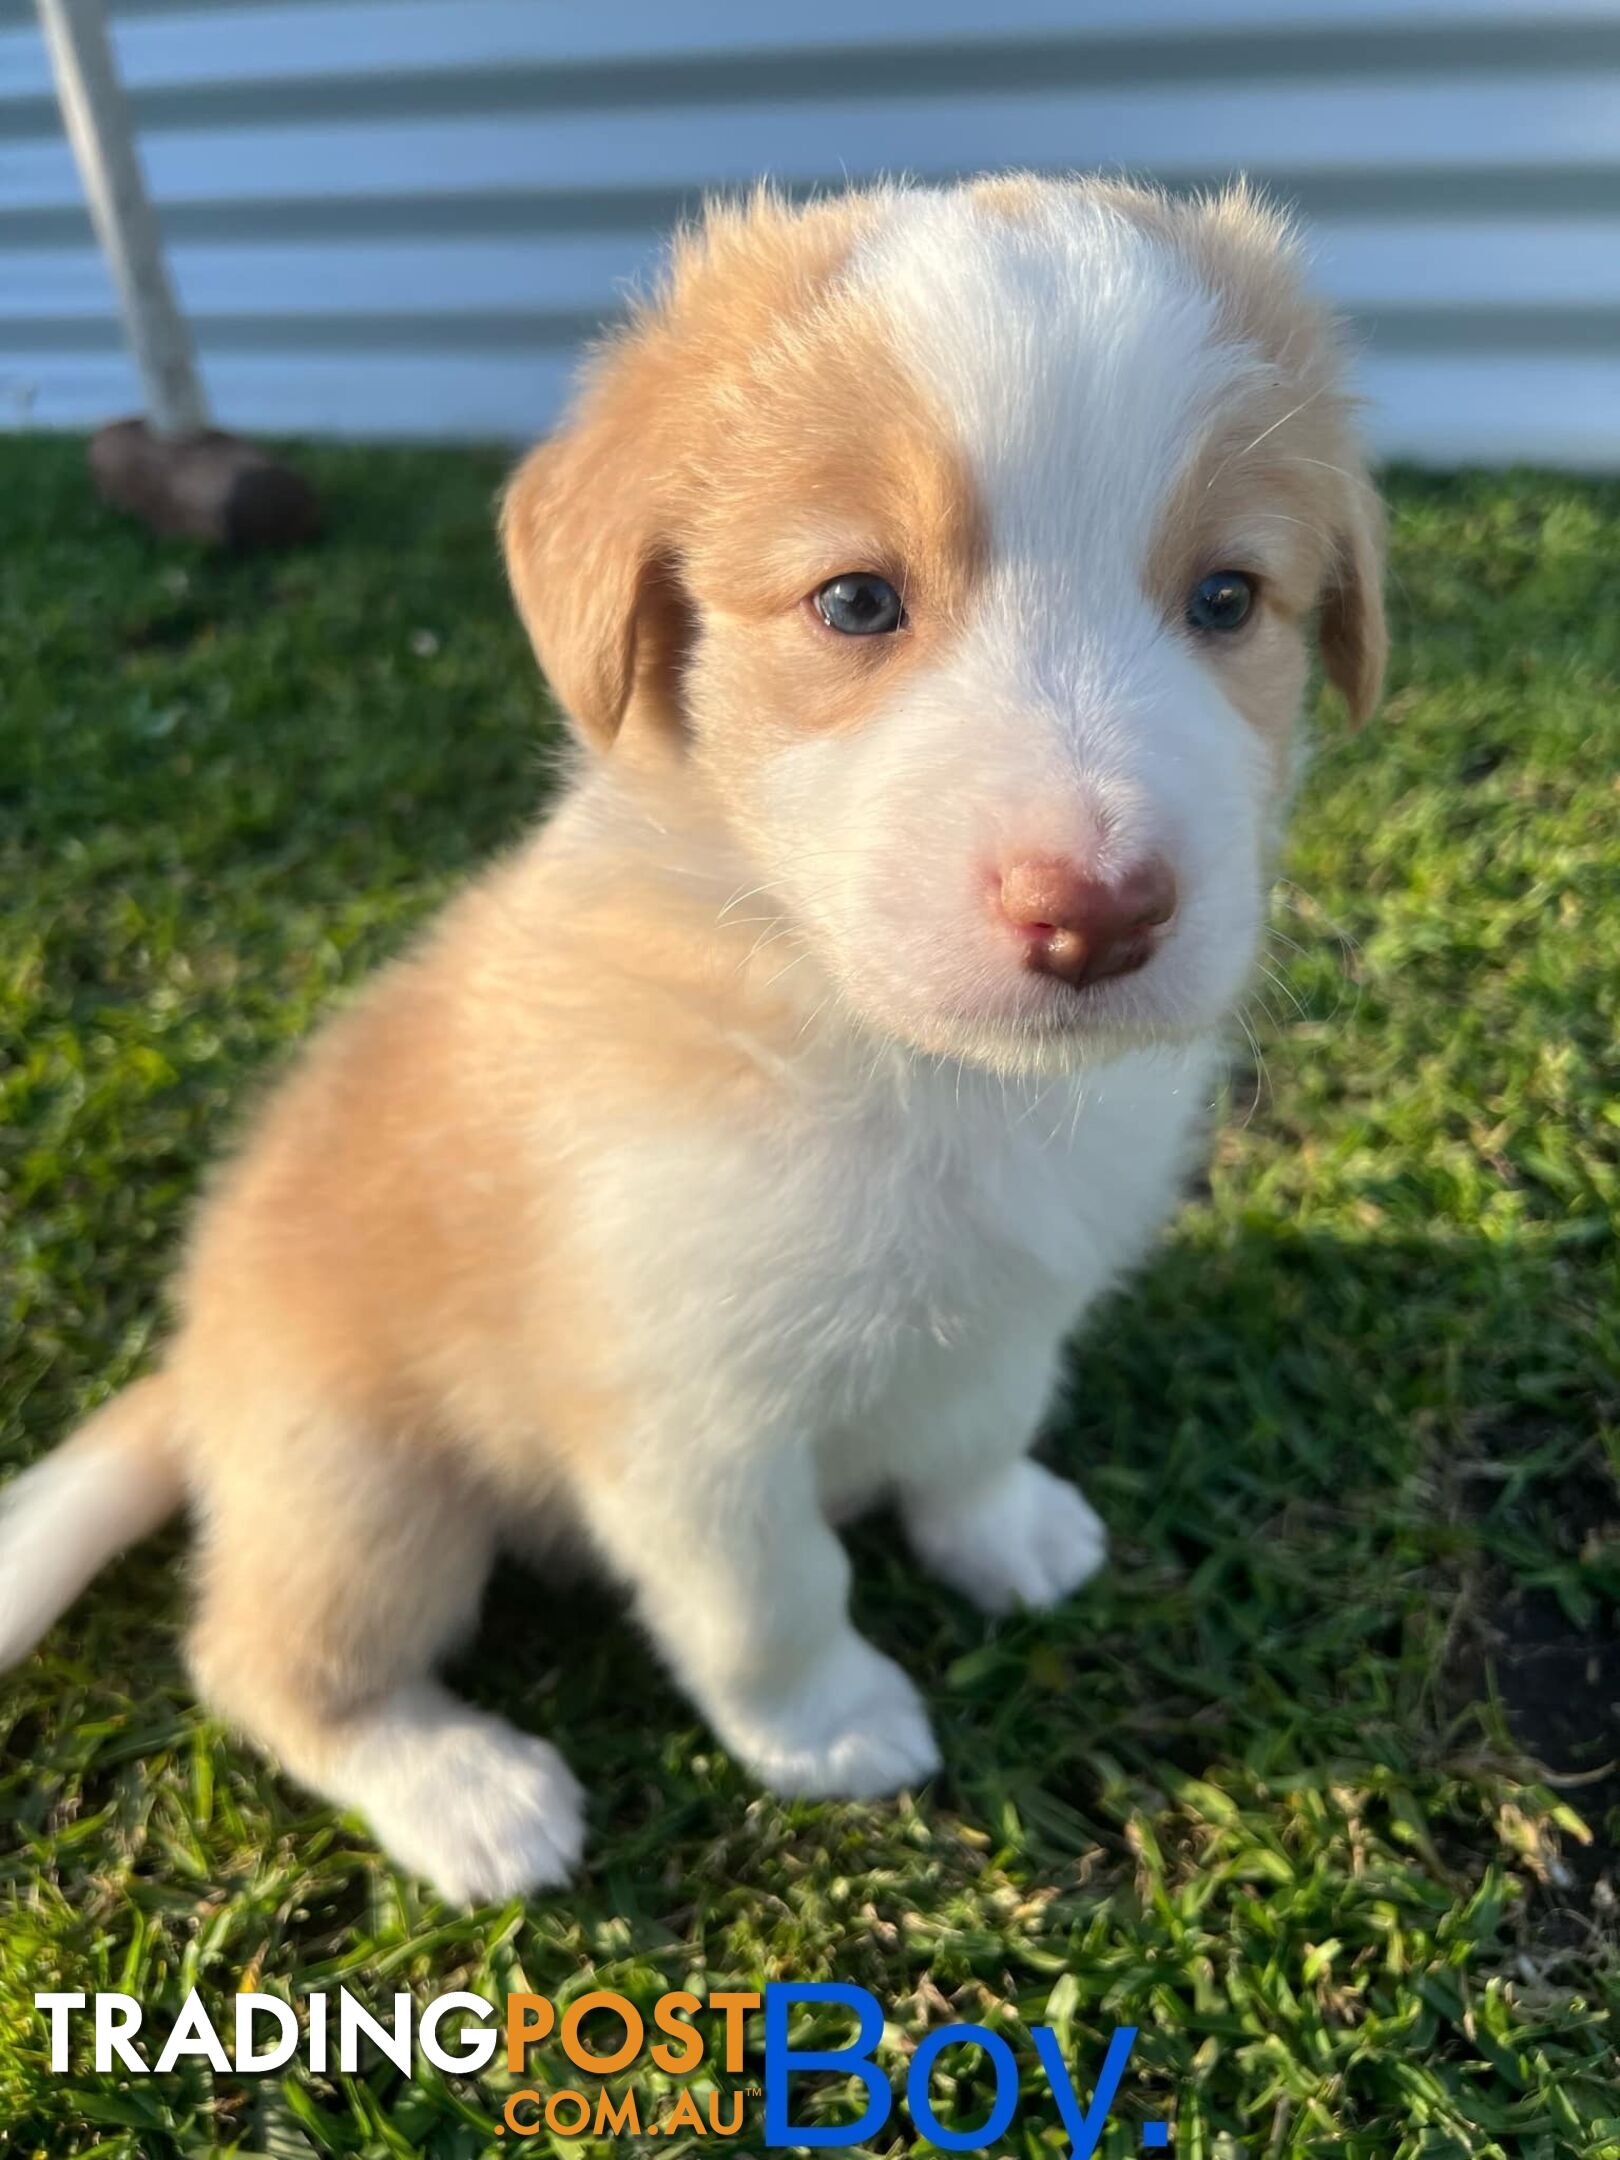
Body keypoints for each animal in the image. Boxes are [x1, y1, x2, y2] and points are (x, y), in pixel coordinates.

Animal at [0, 177, 1382, 1900]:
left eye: (1227, 599)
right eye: (854, 601)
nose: (1098, 916)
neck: (911, 1069)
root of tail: (195, 1371)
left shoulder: (1014, 1306)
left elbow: (977, 1435)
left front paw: (1004, 1534)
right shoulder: (687, 1415)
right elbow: (771, 1595)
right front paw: (832, 1730)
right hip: (367, 1492)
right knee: (265, 1664)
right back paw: (467, 1790)